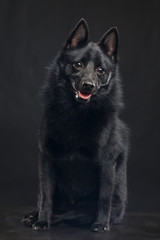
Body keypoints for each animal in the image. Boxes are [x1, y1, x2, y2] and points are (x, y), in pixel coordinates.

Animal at [22, 18, 129, 232]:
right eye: (78, 64)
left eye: (100, 70)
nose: (88, 85)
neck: (77, 113)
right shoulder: (47, 159)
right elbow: (46, 198)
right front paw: (42, 220)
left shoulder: (106, 163)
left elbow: (103, 198)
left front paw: (101, 224)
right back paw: (34, 216)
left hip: (89, 208)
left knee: (70, 215)